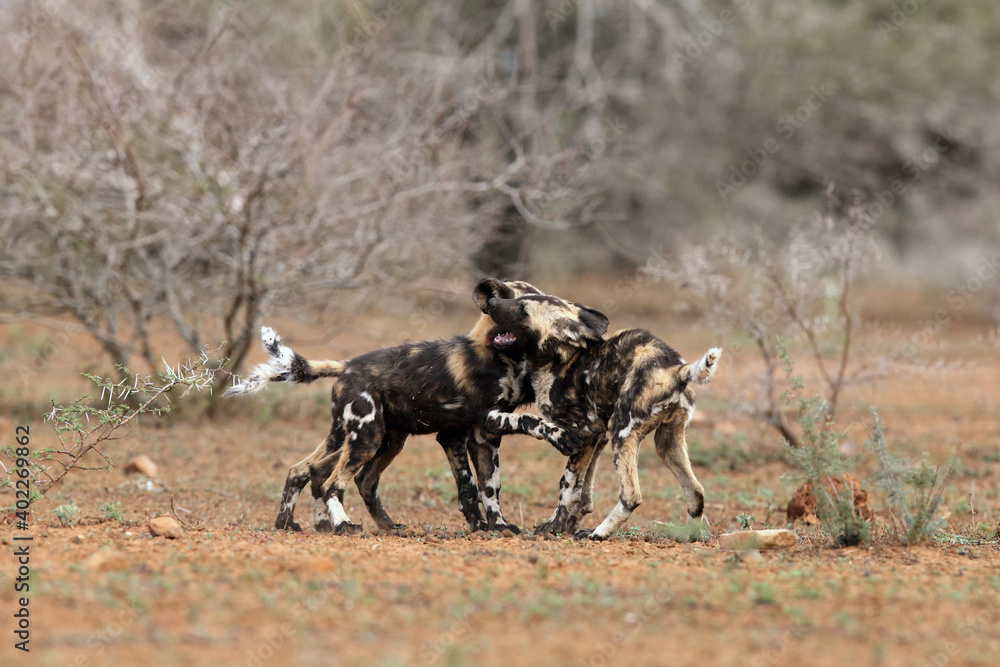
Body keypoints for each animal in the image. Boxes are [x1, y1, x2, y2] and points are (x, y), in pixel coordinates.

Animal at [226, 280, 584, 536]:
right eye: (527, 303)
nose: (564, 308)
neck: (501, 356)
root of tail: (347, 366)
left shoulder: (476, 436)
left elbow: (486, 487)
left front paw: (495, 526)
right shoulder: (479, 425)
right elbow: (520, 431)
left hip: (376, 439)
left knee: (321, 473)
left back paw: (309, 524)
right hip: (367, 436)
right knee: (332, 483)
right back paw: (342, 525)